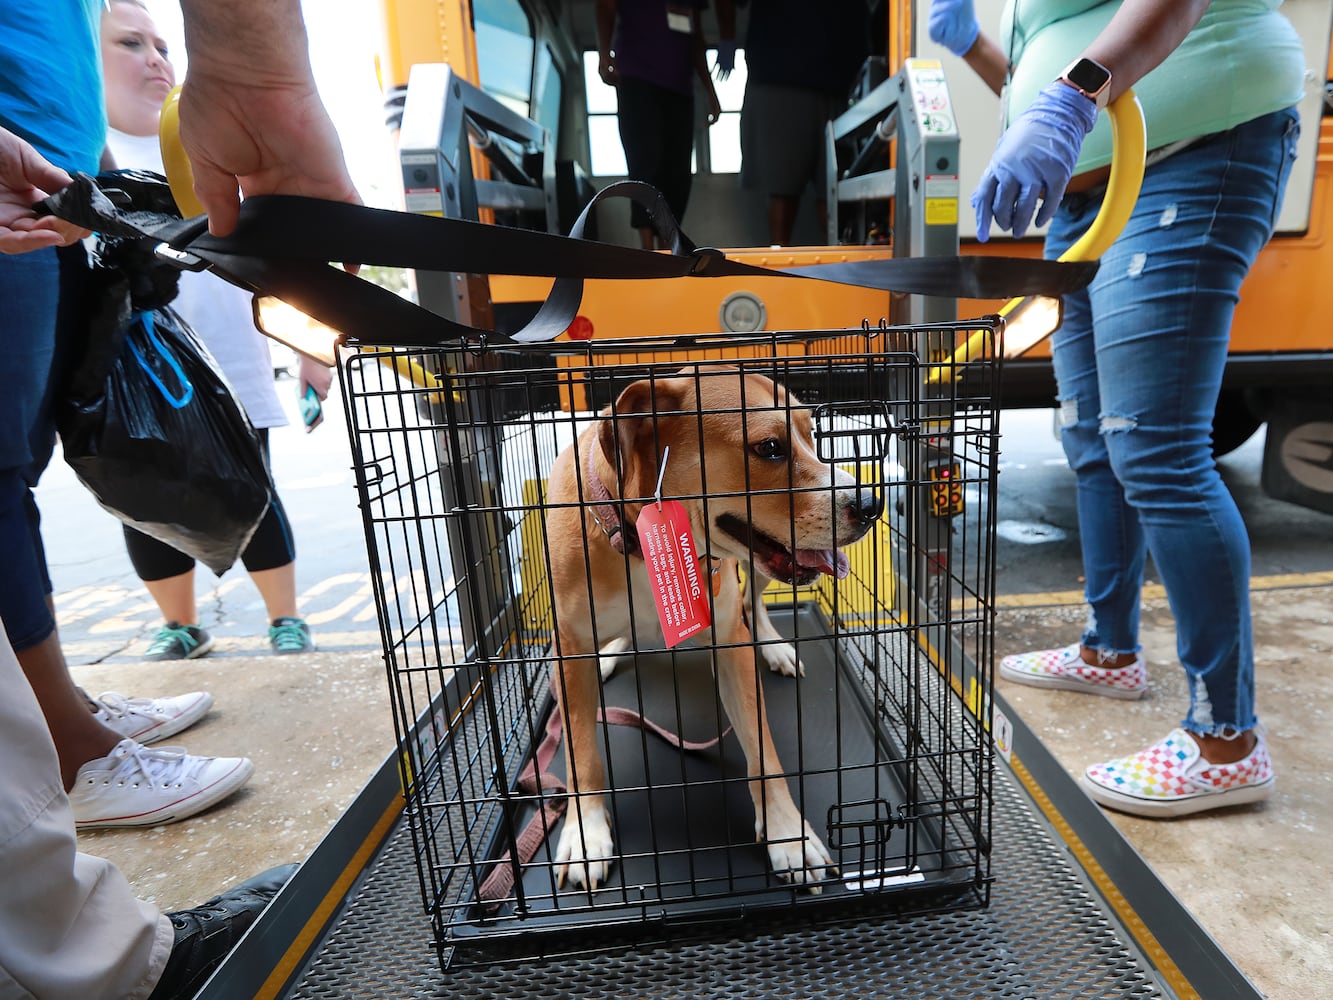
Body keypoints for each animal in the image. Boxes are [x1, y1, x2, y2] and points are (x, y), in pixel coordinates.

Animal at [541, 365, 885, 890]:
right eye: (770, 447)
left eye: (811, 436)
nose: (871, 503)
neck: (641, 536)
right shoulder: (569, 646)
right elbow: (581, 751)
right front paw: (584, 831)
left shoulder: (729, 641)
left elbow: (763, 751)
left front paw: (788, 834)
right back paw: (613, 649)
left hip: (758, 571)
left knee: (753, 603)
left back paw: (774, 646)